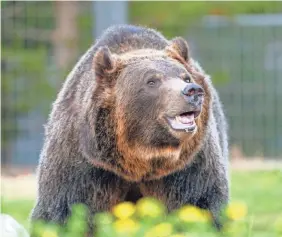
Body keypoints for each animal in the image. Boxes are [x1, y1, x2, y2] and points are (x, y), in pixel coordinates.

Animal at [30, 25, 229, 230]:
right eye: (152, 81)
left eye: (186, 78)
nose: (192, 91)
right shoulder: (85, 163)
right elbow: (63, 209)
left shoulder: (188, 165)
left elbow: (200, 202)